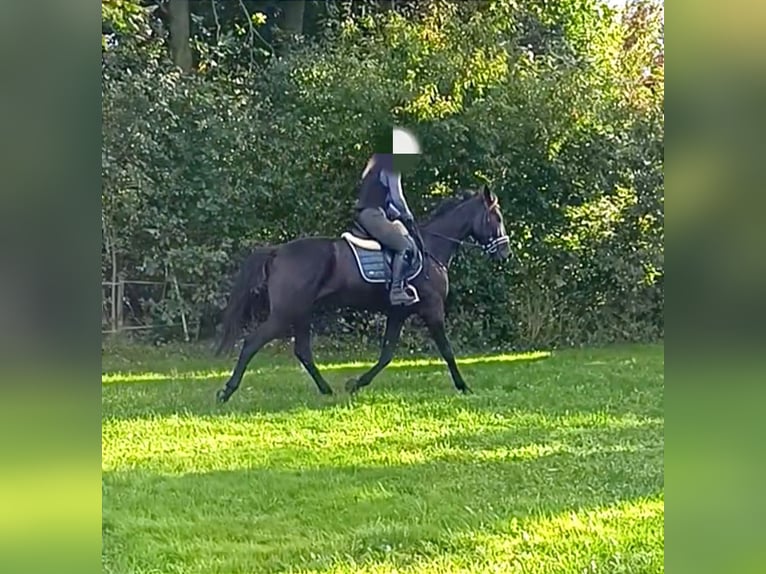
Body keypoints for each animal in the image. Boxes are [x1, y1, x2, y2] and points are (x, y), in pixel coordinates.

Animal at [216, 187, 512, 402]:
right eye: (496, 218)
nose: (505, 253)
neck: (431, 249)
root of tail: (277, 251)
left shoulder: (398, 313)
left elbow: (386, 354)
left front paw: (355, 384)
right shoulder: (432, 309)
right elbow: (447, 351)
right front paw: (464, 387)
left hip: (302, 313)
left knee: (302, 352)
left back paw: (326, 390)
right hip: (285, 313)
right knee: (251, 343)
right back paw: (227, 392)